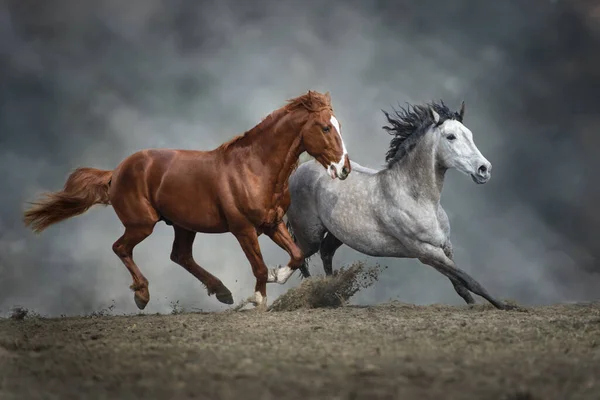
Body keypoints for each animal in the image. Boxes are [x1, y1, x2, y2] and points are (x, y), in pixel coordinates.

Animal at [23, 91, 352, 312]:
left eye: (339, 125)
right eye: (325, 127)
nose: (344, 169)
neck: (255, 167)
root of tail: (116, 172)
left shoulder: (271, 223)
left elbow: (296, 255)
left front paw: (277, 275)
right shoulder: (243, 229)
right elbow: (258, 267)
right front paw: (257, 299)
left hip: (184, 225)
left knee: (179, 256)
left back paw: (222, 292)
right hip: (142, 224)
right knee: (121, 248)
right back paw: (142, 296)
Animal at [278, 100, 512, 310]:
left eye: (470, 134)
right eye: (450, 136)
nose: (484, 169)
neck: (417, 198)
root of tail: (299, 170)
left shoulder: (445, 246)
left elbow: (460, 284)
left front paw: (474, 305)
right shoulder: (424, 251)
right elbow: (469, 279)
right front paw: (504, 306)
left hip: (338, 234)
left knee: (326, 252)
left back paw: (334, 295)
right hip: (310, 235)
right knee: (300, 258)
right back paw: (314, 293)